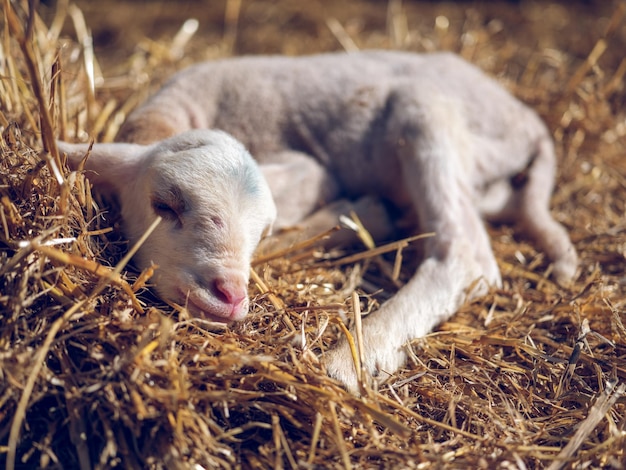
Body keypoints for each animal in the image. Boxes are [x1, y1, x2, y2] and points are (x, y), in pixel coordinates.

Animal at [58, 50, 576, 392]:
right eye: (164, 205)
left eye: (261, 231)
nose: (230, 295)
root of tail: (526, 119)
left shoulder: (310, 168)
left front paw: (361, 215)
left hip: (427, 113)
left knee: (465, 253)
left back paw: (351, 358)